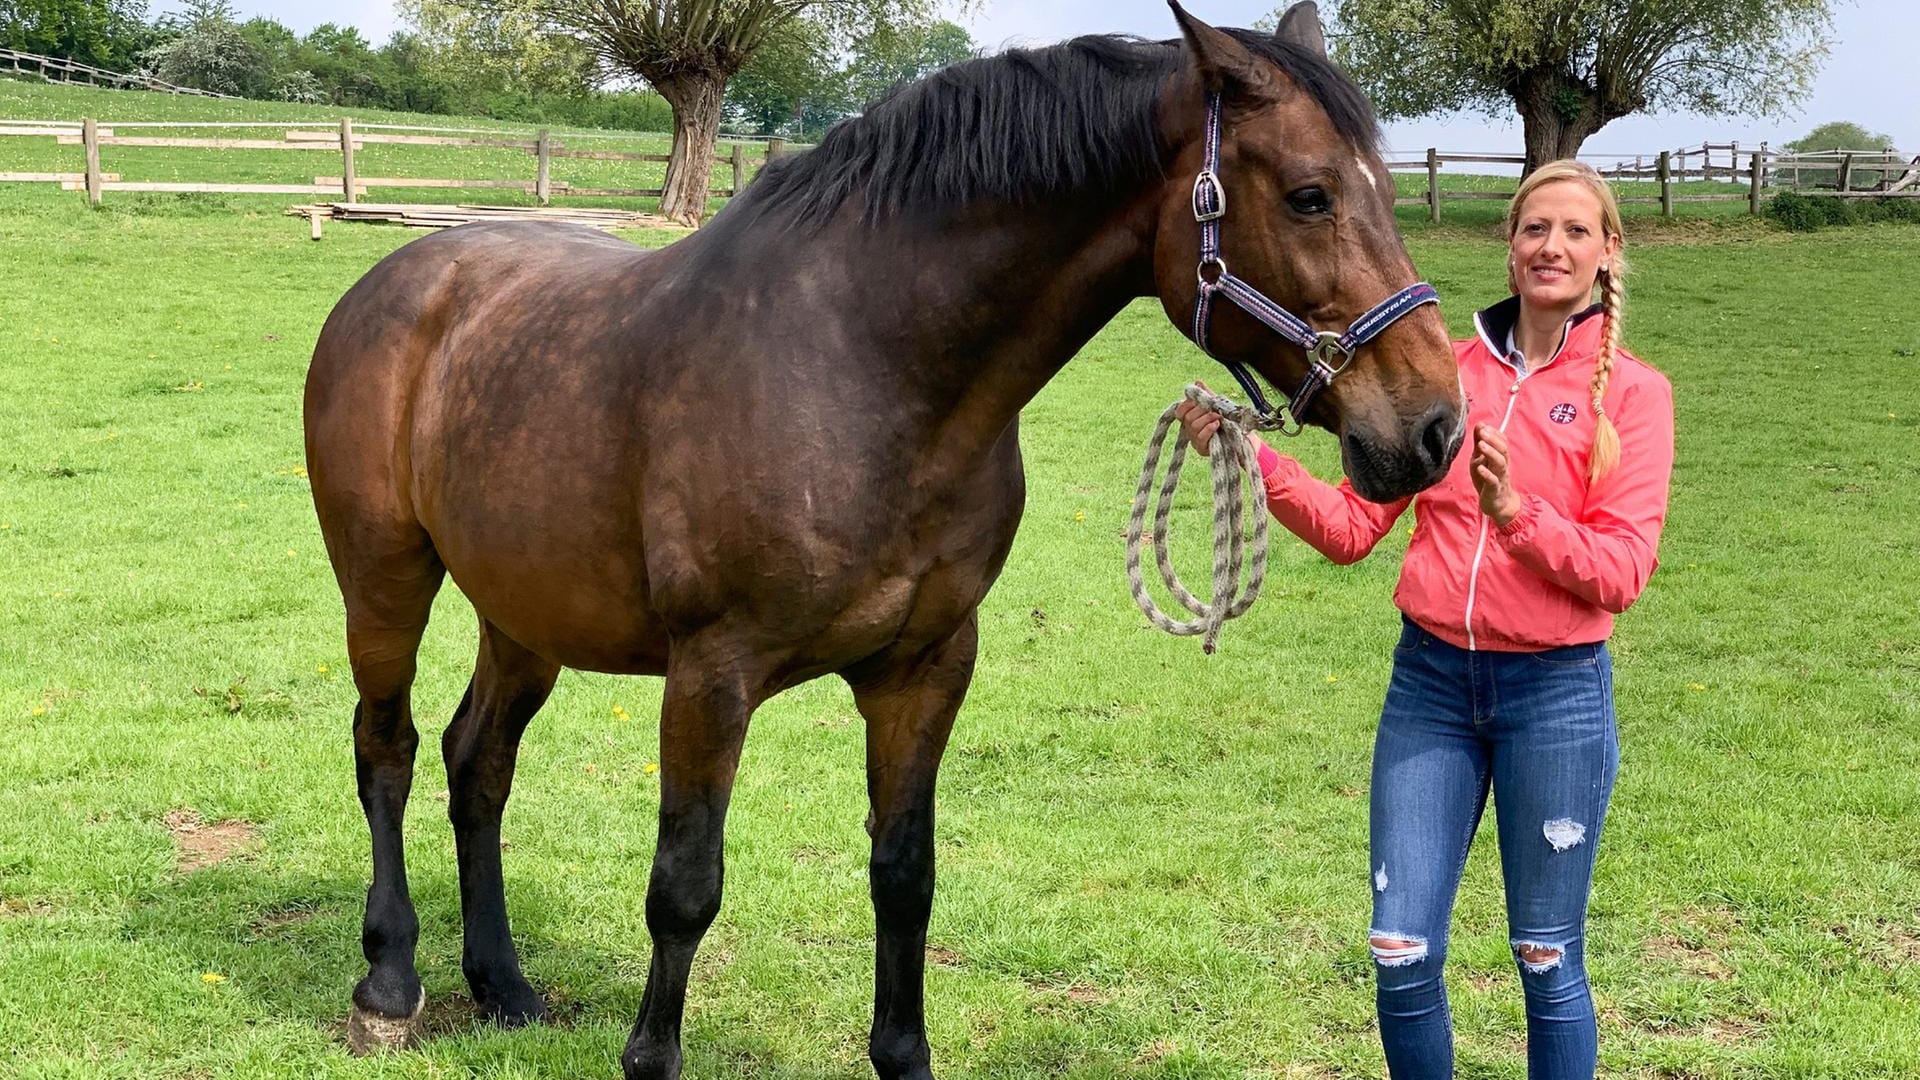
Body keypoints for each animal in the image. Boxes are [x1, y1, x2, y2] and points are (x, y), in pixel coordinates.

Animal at [307, 4, 1459, 1068]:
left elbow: (905, 879)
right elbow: (685, 887)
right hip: (385, 582)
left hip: (524, 612)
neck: (865, 365)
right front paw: (648, 1054)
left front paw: (903, 1050)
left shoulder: (926, 668)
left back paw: (500, 983)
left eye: (1387, 190)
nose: (1434, 428)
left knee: (478, 763)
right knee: (387, 750)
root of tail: (399, 279)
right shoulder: (711, 675)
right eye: (1309, 195)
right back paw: (389, 984)